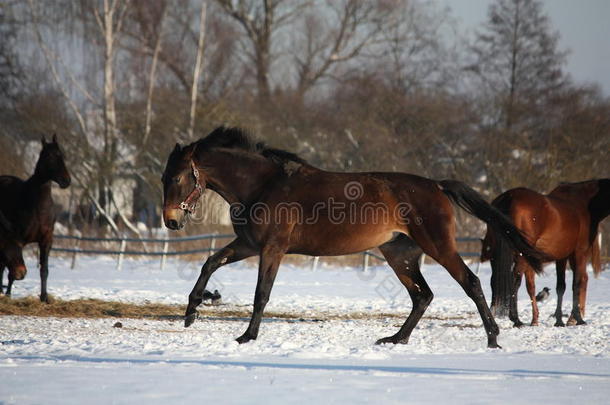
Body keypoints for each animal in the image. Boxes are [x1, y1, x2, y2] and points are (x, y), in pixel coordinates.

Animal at [0, 135, 70, 300]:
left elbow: (44, 270)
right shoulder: (17, 239)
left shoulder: (46, 240)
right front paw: (8, 294)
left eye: (61, 155)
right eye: (48, 156)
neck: (38, 207)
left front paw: (44, 297)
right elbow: (12, 269)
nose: (66, 181)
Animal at [160, 127, 540, 348]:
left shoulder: (272, 249)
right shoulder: (249, 245)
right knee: (422, 296)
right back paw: (395, 339)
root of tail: (437, 185)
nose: (171, 221)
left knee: (470, 282)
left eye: (177, 178)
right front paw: (192, 311)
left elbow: (261, 294)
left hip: (438, 247)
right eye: (164, 177)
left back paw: (493, 338)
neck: (263, 185)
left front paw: (247, 336)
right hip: (399, 255)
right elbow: (210, 262)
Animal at [480, 180, 608, 328]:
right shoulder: (578, 252)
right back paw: (516, 319)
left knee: (495, 280)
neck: (585, 203)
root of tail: (508, 198)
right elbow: (575, 284)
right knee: (515, 280)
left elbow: (560, 286)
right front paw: (578, 319)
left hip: (498, 256)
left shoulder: (561, 256)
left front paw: (558, 320)